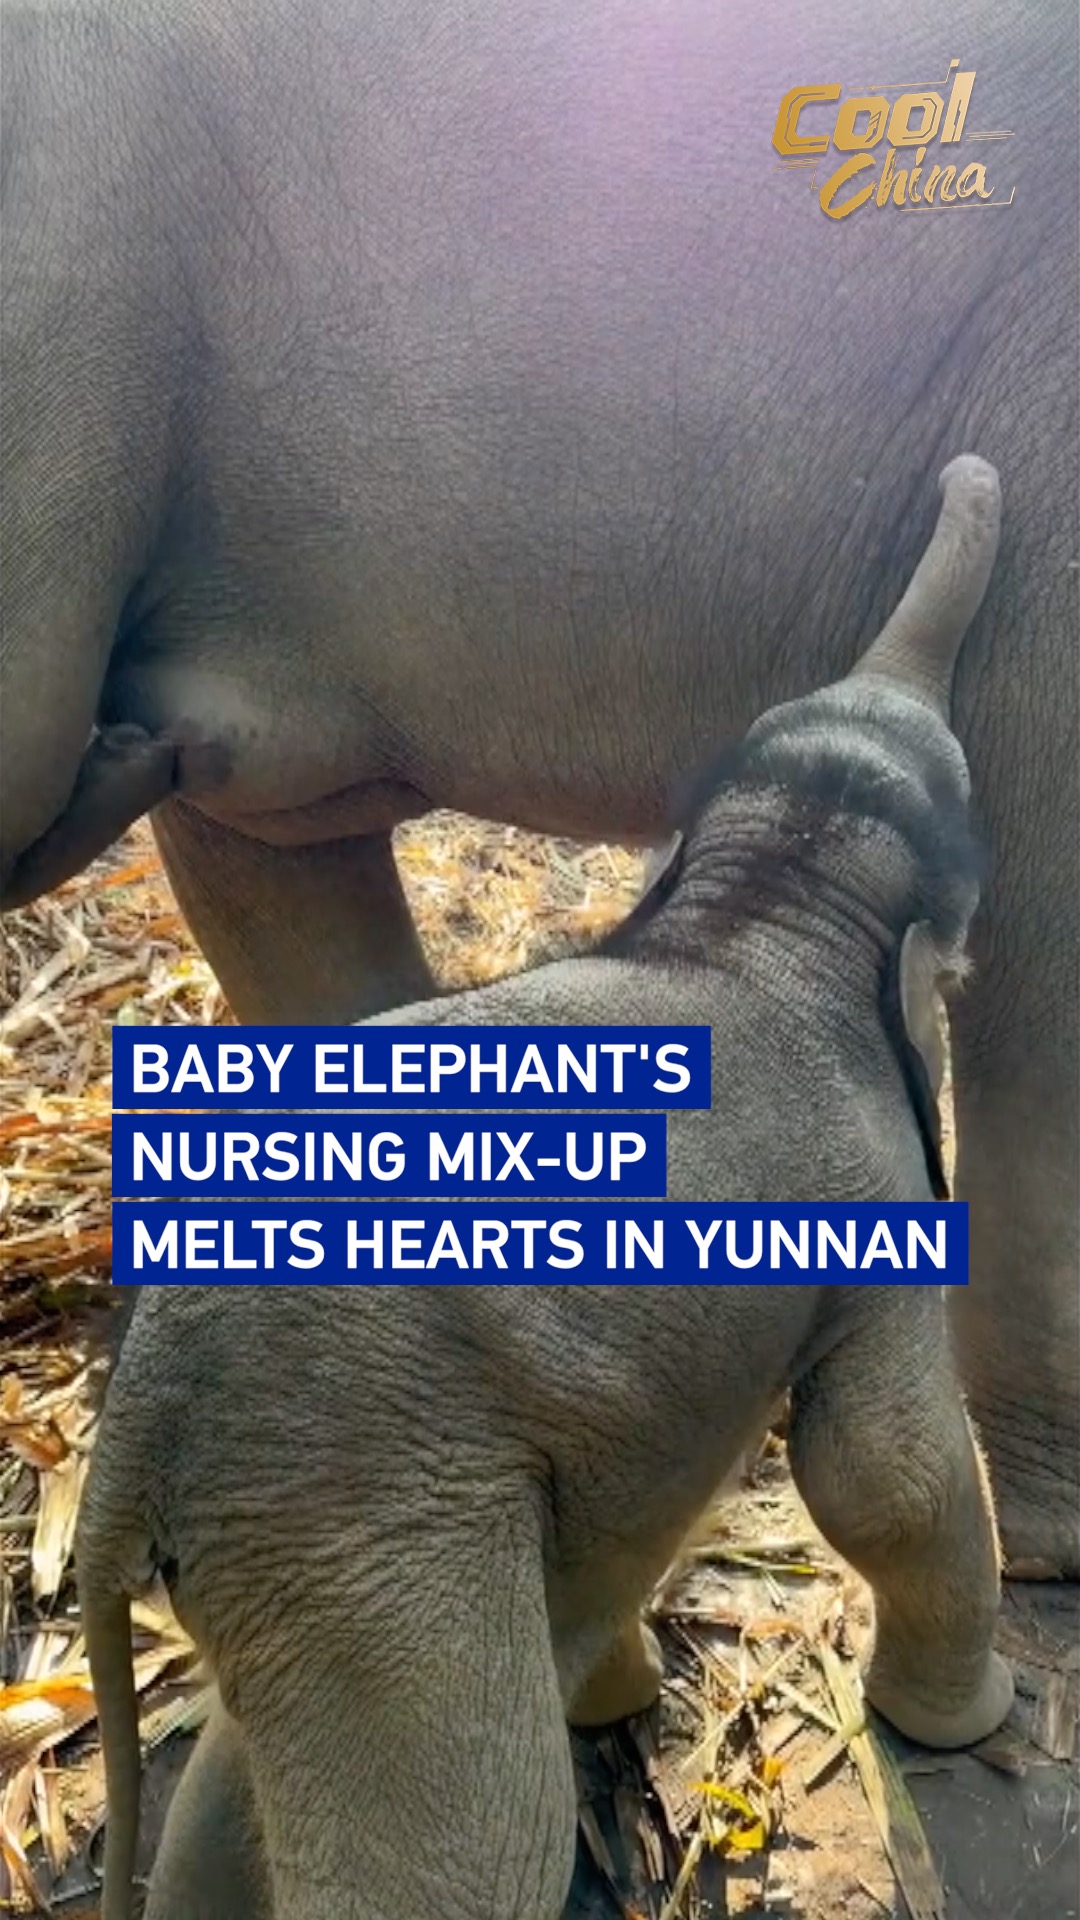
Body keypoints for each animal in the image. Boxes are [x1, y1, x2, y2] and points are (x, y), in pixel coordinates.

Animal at [78, 457, 1016, 1920]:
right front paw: (976, 1721)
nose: (968, 478)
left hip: (299, 1546)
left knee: (239, 1776)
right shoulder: (871, 1193)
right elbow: (884, 1468)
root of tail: (127, 1444)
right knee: (469, 1817)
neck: (763, 909)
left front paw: (621, 1696)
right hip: (371, 1527)